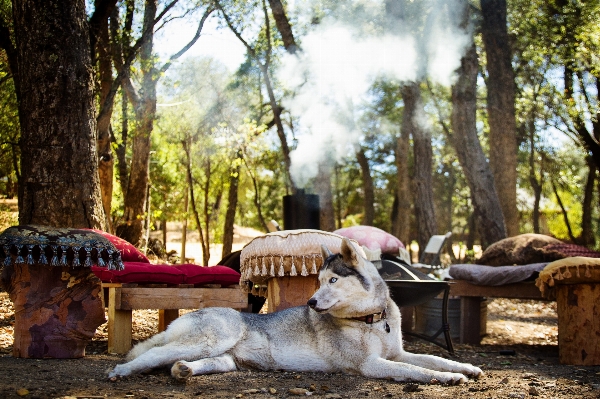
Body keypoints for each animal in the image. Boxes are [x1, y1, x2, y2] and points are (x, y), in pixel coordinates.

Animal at [109, 239, 482, 386]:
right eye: (316, 282)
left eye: (333, 280)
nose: (311, 303)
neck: (373, 322)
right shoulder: (371, 365)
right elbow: (415, 371)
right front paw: (448, 379)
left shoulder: (398, 352)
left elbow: (433, 360)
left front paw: (465, 368)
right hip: (210, 340)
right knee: (149, 353)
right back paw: (121, 370)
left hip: (224, 358)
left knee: (183, 361)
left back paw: (183, 370)